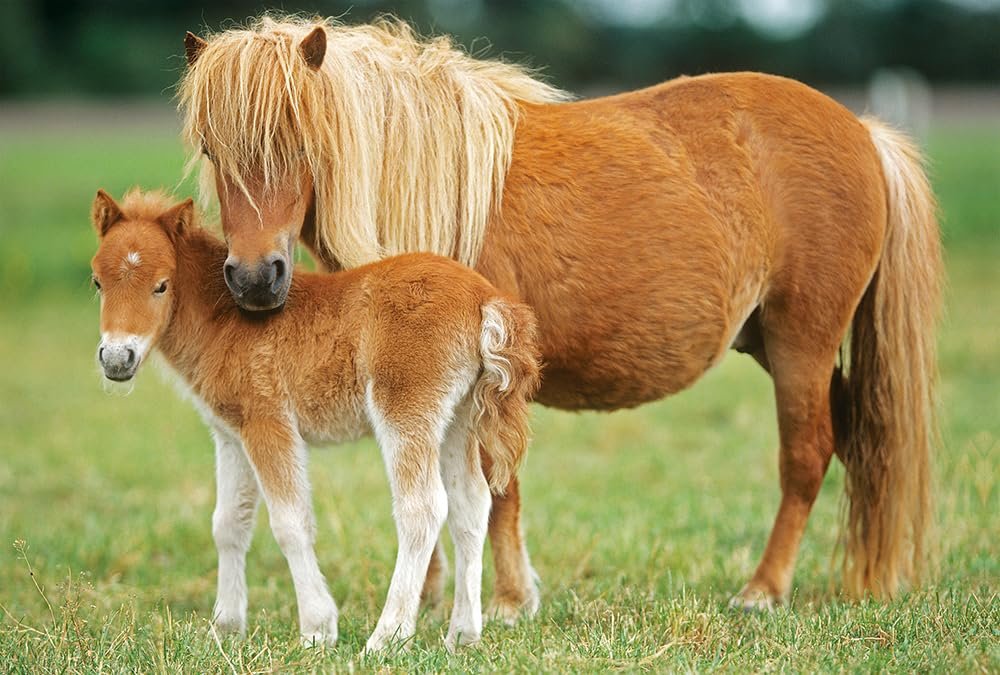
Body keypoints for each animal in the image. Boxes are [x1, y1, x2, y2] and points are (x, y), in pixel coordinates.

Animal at [89, 188, 541, 651]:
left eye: (161, 285)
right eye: (98, 282)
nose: (117, 358)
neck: (224, 319)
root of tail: (484, 298)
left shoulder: (268, 423)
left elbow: (290, 523)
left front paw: (317, 629)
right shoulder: (231, 434)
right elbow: (228, 524)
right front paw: (224, 628)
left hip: (405, 408)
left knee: (423, 508)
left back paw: (386, 637)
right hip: (458, 418)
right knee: (472, 504)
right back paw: (462, 635)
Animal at [179, 16, 942, 610]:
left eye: (298, 140)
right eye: (212, 149)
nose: (254, 279)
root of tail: (864, 132)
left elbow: (496, 489)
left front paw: (508, 601)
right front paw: (432, 595)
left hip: (800, 347)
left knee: (807, 456)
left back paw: (762, 590)